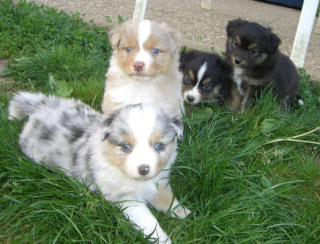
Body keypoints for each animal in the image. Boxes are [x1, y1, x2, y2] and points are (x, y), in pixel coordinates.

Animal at [8, 92, 190, 244]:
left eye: (159, 146)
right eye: (126, 147)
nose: (144, 169)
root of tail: (42, 104)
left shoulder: (160, 183)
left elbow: (168, 200)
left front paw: (185, 213)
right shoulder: (127, 199)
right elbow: (149, 221)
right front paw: (163, 239)